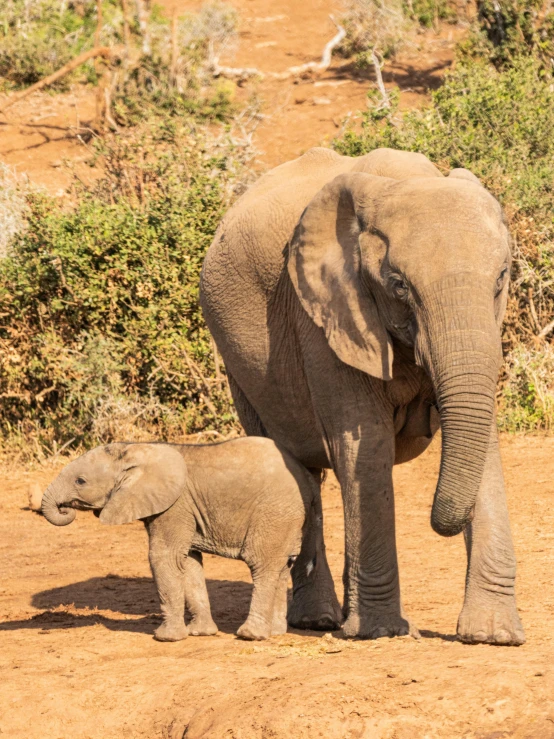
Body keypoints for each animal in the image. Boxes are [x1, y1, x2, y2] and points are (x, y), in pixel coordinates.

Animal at [42, 440, 320, 640]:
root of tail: (306, 478)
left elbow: (164, 557)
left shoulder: (175, 505)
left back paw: (250, 636)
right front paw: (200, 633)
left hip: (274, 513)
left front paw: (165, 638)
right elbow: (189, 562)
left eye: (80, 481)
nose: (66, 508)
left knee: (262, 565)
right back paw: (276, 632)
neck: (136, 449)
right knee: (282, 567)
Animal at [198, 147, 520, 644]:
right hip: (240, 365)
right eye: (399, 285)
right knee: (298, 470)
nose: (440, 522)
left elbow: (481, 437)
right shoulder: (322, 315)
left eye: (502, 277)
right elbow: (364, 444)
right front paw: (381, 632)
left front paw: (492, 635)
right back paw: (320, 621)